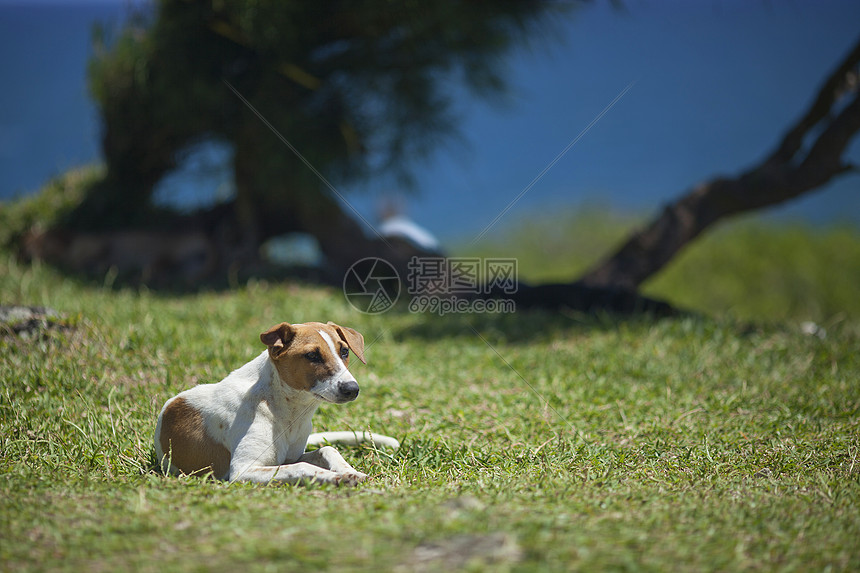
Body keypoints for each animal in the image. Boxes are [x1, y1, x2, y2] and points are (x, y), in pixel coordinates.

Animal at [154, 320, 400, 484]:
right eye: (312, 356)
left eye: (345, 351)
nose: (352, 389)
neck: (289, 411)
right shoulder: (243, 470)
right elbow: (301, 467)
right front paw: (336, 477)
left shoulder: (292, 455)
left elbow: (327, 450)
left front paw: (349, 471)